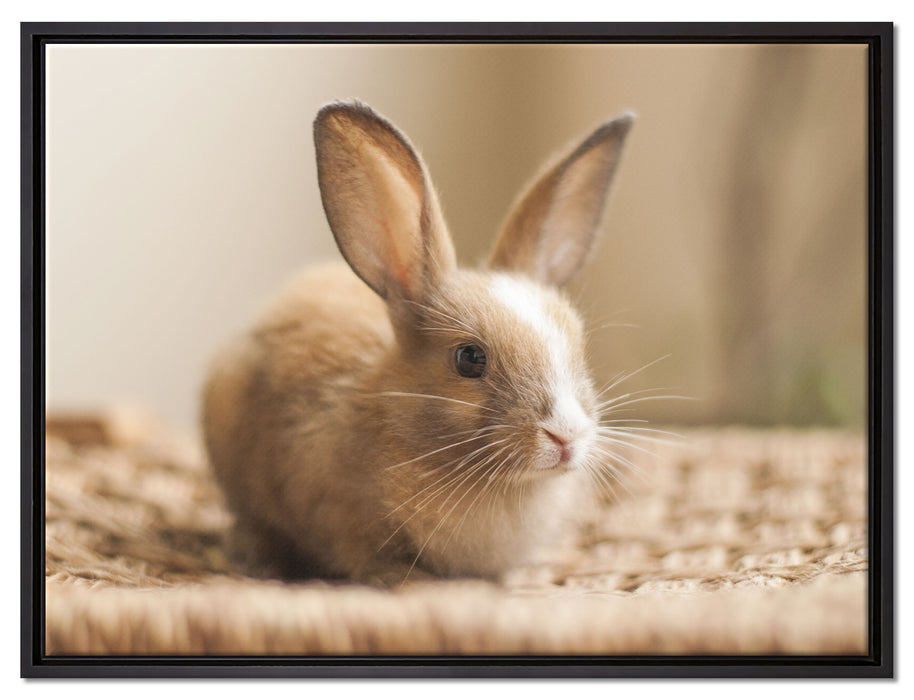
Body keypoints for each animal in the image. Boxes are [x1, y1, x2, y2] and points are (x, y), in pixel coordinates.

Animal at [202, 99, 634, 586]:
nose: (566, 435)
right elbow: (365, 559)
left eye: (578, 346)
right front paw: (411, 582)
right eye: (469, 358)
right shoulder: (339, 518)